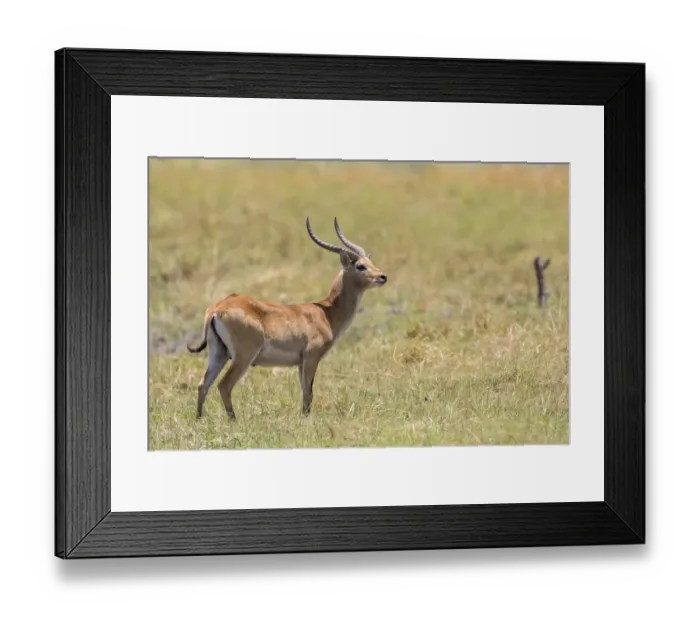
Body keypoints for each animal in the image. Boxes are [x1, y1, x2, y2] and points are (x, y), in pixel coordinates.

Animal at [187, 217, 388, 421]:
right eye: (360, 266)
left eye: (370, 261)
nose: (382, 276)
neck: (327, 313)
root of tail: (218, 308)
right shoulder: (311, 358)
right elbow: (308, 392)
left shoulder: (301, 363)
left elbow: (305, 391)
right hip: (243, 357)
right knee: (224, 385)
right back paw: (234, 421)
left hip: (218, 354)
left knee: (203, 384)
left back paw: (199, 419)